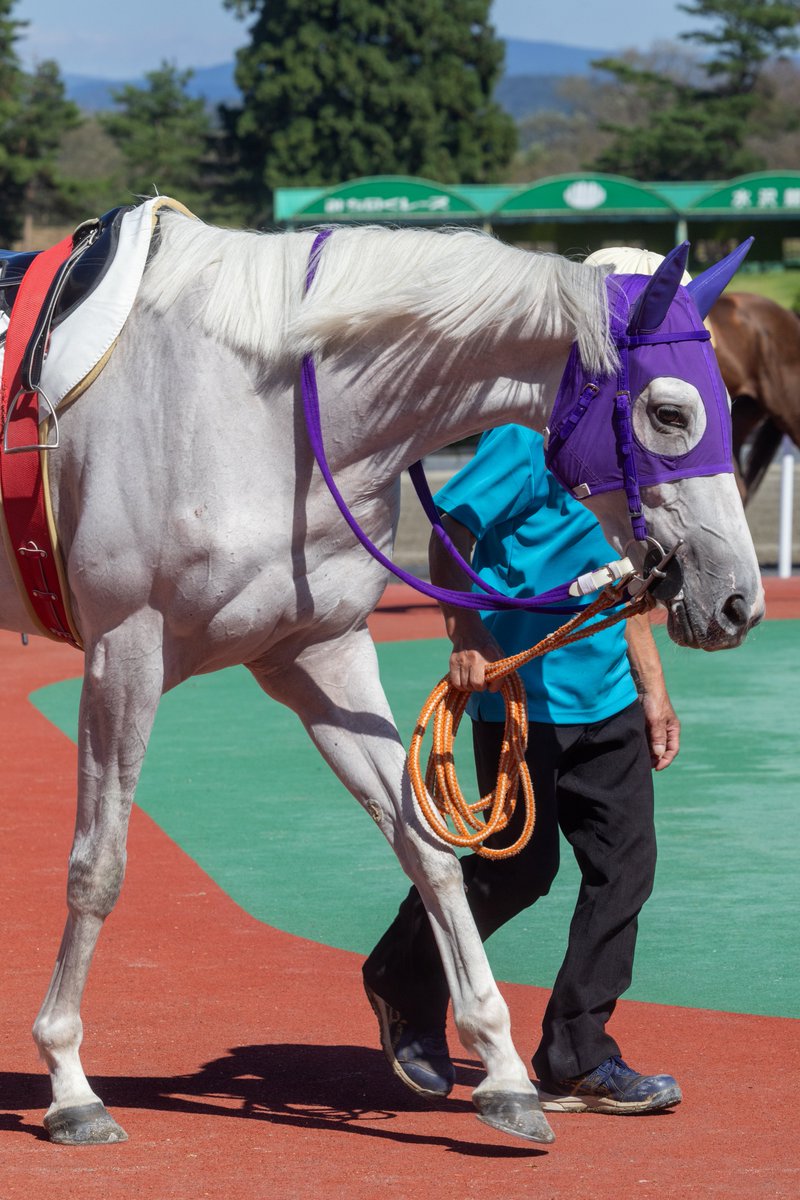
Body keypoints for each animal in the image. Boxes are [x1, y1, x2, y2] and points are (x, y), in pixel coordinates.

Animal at [0, 209, 764, 1148]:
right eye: (669, 412)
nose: (738, 598)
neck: (255, 406)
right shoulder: (125, 648)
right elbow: (97, 867)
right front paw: (70, 1081)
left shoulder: (316, 651)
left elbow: (429, 848)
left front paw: (501, 1072)